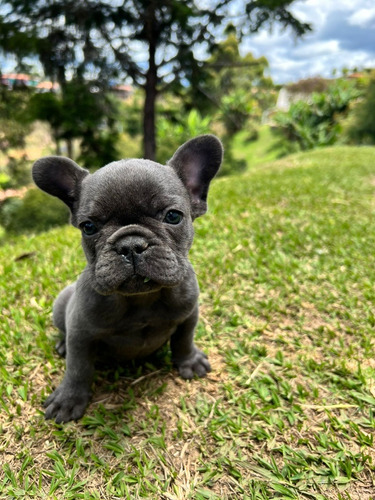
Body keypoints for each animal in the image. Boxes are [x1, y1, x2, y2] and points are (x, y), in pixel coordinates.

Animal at [32, 134, 223, 422]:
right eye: (88, 227)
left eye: (173, 216)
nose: (131, 245)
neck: (142, 299)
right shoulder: (79, 332)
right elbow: (78, 367)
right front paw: (69, 399)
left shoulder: (189, 314)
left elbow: (183, 340)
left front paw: (189, 362)